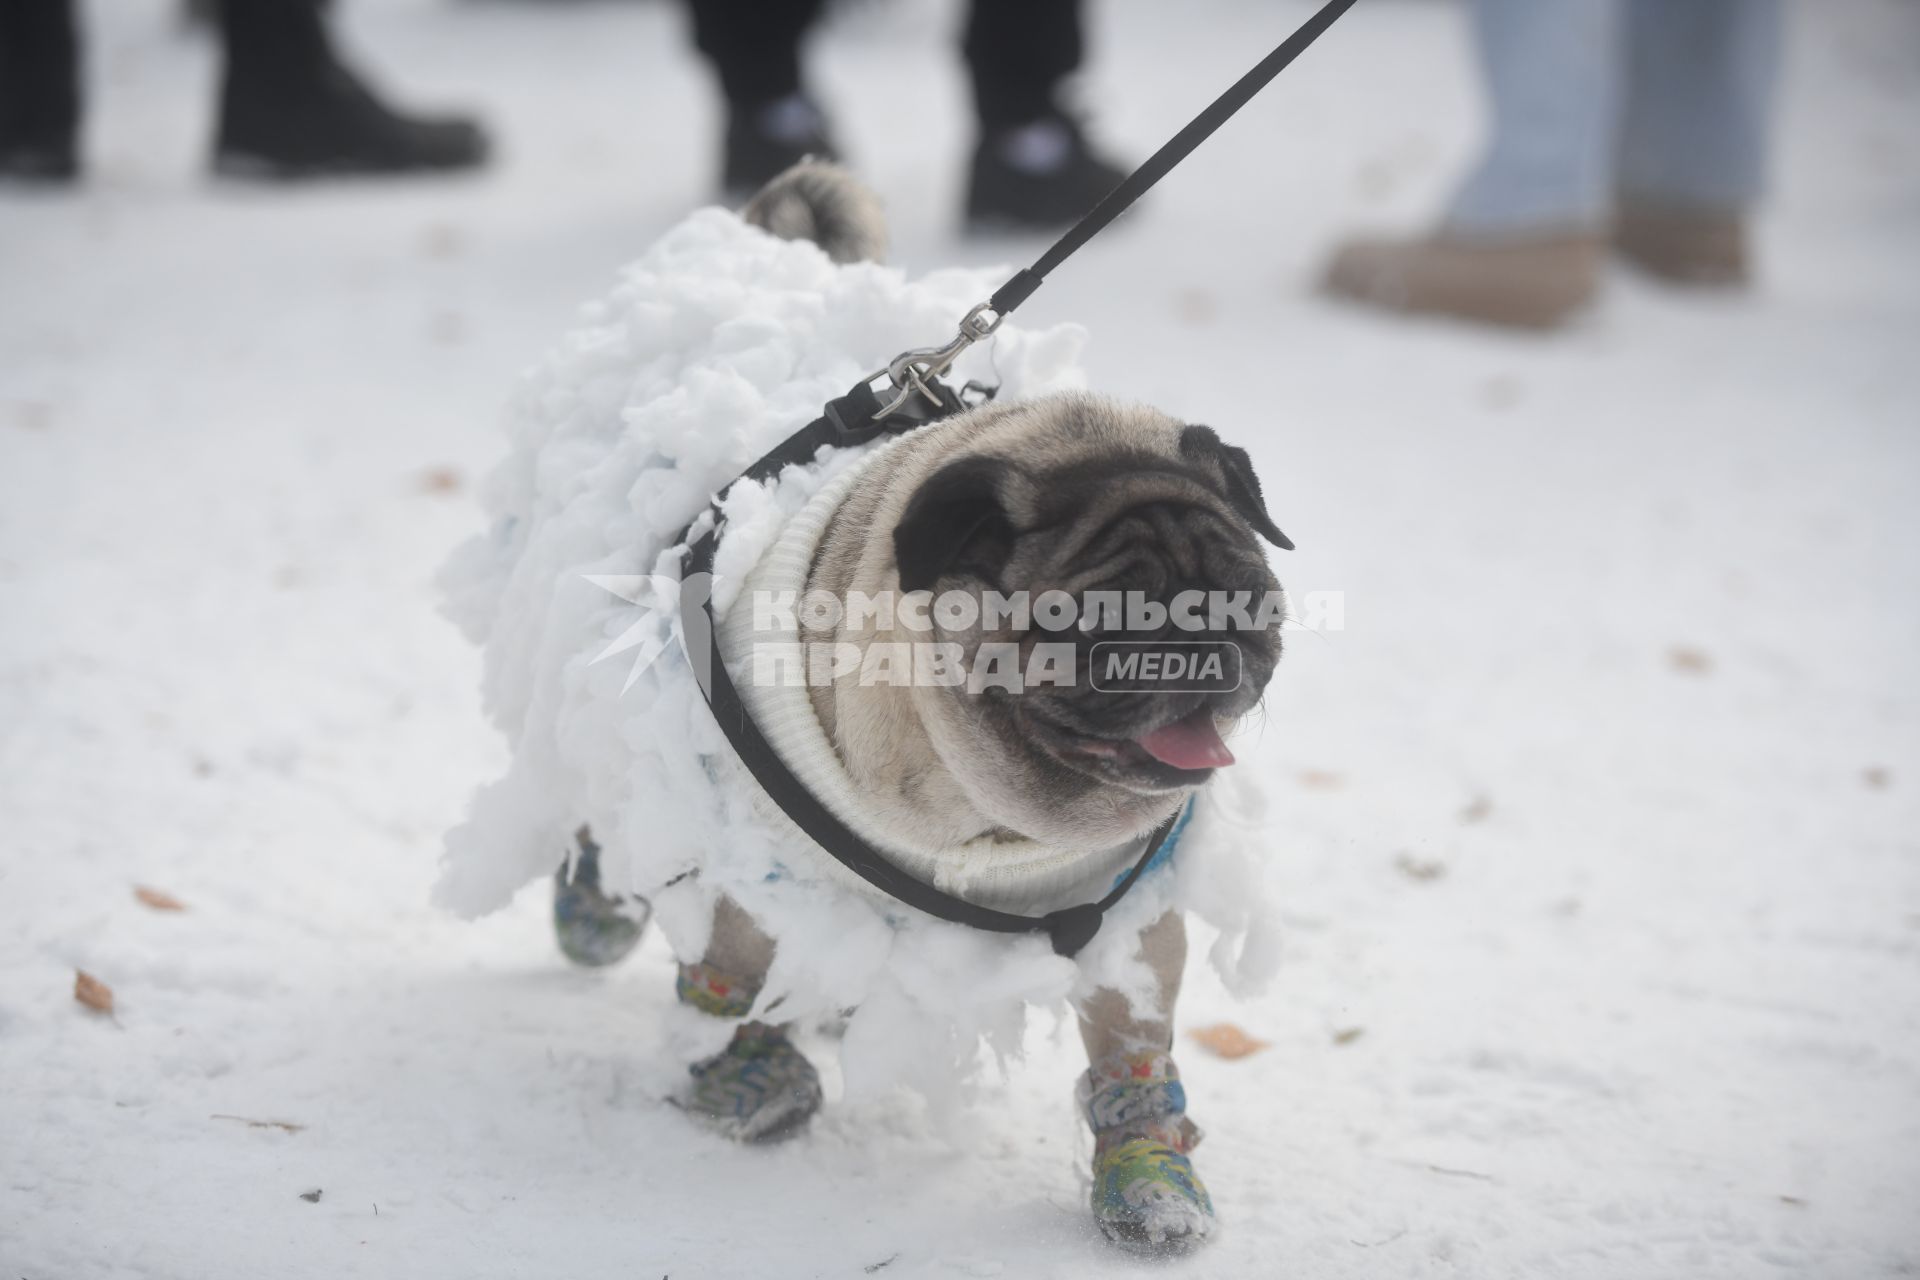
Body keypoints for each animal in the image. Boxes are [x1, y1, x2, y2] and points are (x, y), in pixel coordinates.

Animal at [541, 165, 1290, 1258]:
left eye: (1249, 596)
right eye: (1102, 618)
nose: (1206, 645)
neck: (975, 805)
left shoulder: (1124, 916)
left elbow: (1132, 1040)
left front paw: (1150, 1174)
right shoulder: (757, 864)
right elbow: (733, 962)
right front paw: (740, 1071)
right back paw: (596, 905)